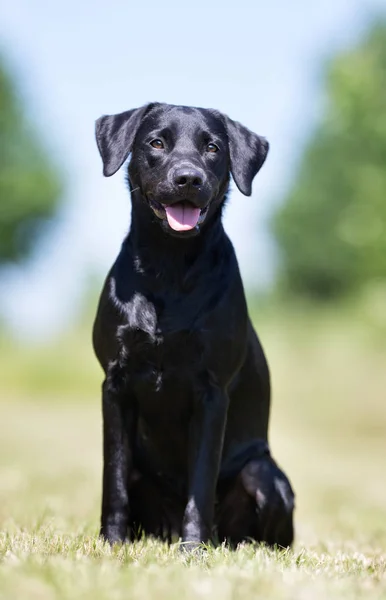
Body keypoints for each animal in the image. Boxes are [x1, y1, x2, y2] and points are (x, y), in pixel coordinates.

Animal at [93, 102, 296, 548]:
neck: (168, 267)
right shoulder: (115, 385)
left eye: (212, 147)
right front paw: (111, 543)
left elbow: (200, 485)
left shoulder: (212, 391)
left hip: (263, 474)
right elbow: (113, 479)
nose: (188, 177)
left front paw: (193, 549)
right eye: (156, 142)